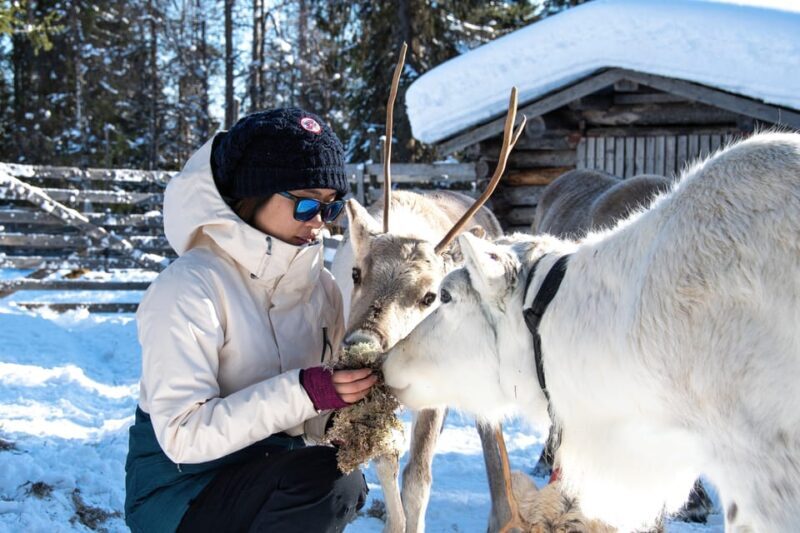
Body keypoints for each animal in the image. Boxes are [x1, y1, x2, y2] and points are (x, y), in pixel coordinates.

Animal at [330, 44, 529, 533]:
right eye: (356, 273)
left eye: (429, 296)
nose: (361, 344)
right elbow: (385, 463)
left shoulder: (431, 391)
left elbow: (417, 477)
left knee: (490, 427)